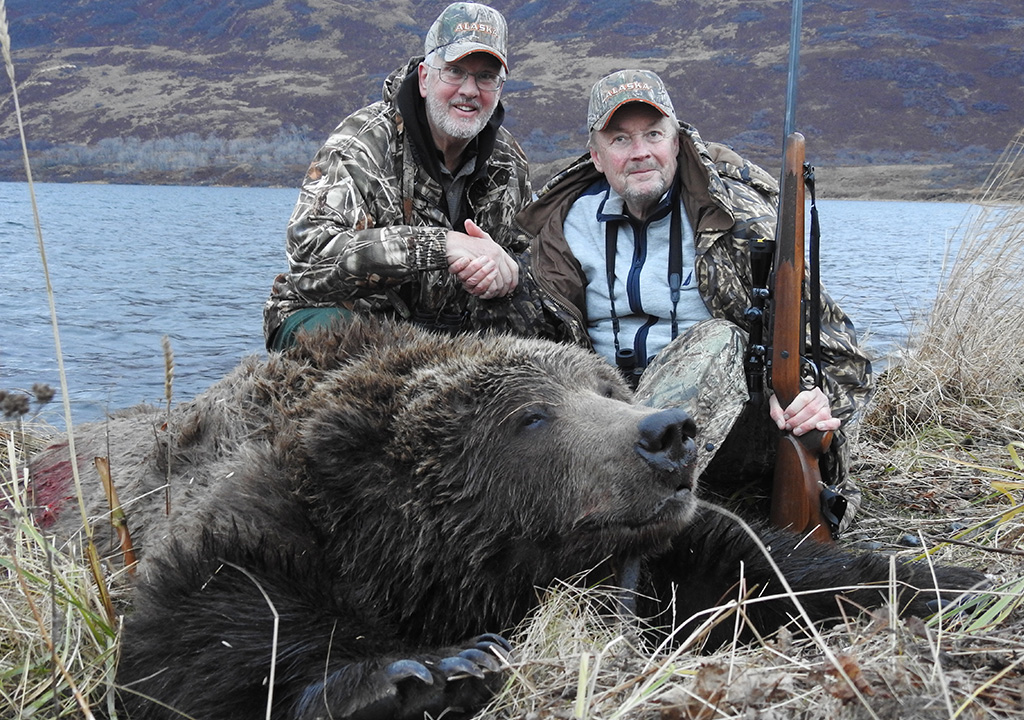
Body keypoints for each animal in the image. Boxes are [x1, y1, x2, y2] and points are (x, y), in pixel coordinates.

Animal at [25, 318, 984, 720]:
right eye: (530, 418)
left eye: (605, 388)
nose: (667, 433)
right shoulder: (261, 520)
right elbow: (196, 641)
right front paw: (424, 673)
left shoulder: (665, 553)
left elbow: (770, 569)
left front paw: (955, 580)